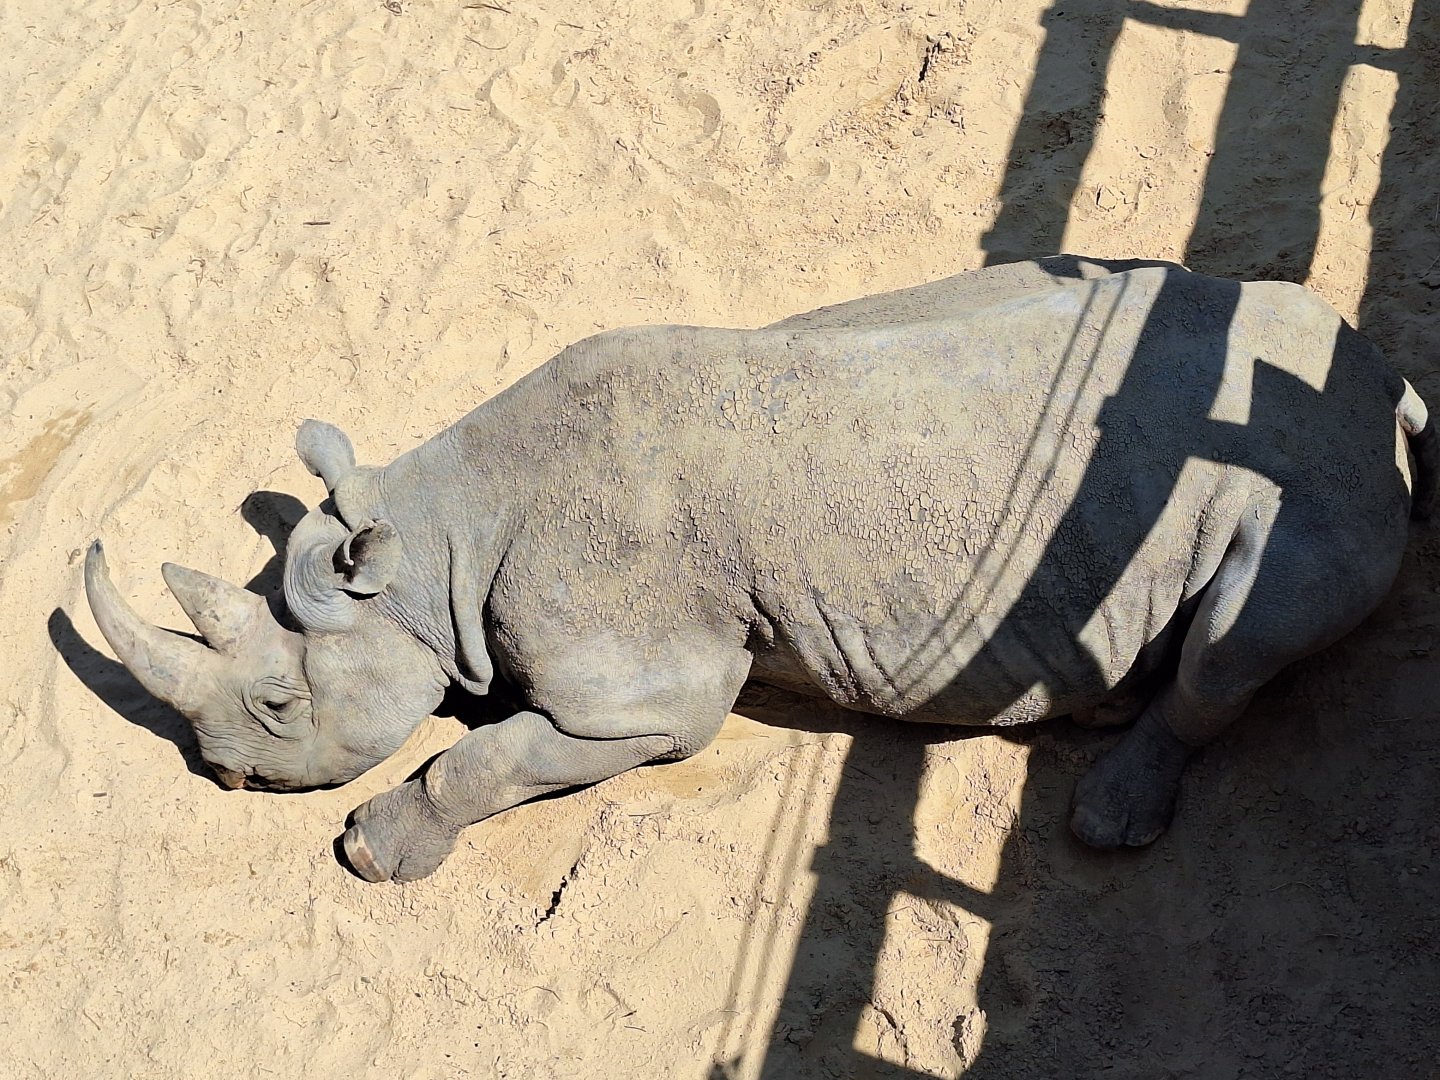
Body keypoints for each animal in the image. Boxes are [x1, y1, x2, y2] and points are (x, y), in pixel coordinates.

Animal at [84, 256, 1435, 882]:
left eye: (277, 702)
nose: (224, 775)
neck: (429, 549)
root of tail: (1380, 382)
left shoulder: (645, 699)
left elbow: (488, 758)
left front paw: (375, 851)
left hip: (1303, 482)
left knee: (1240, 642)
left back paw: (1107, 818)